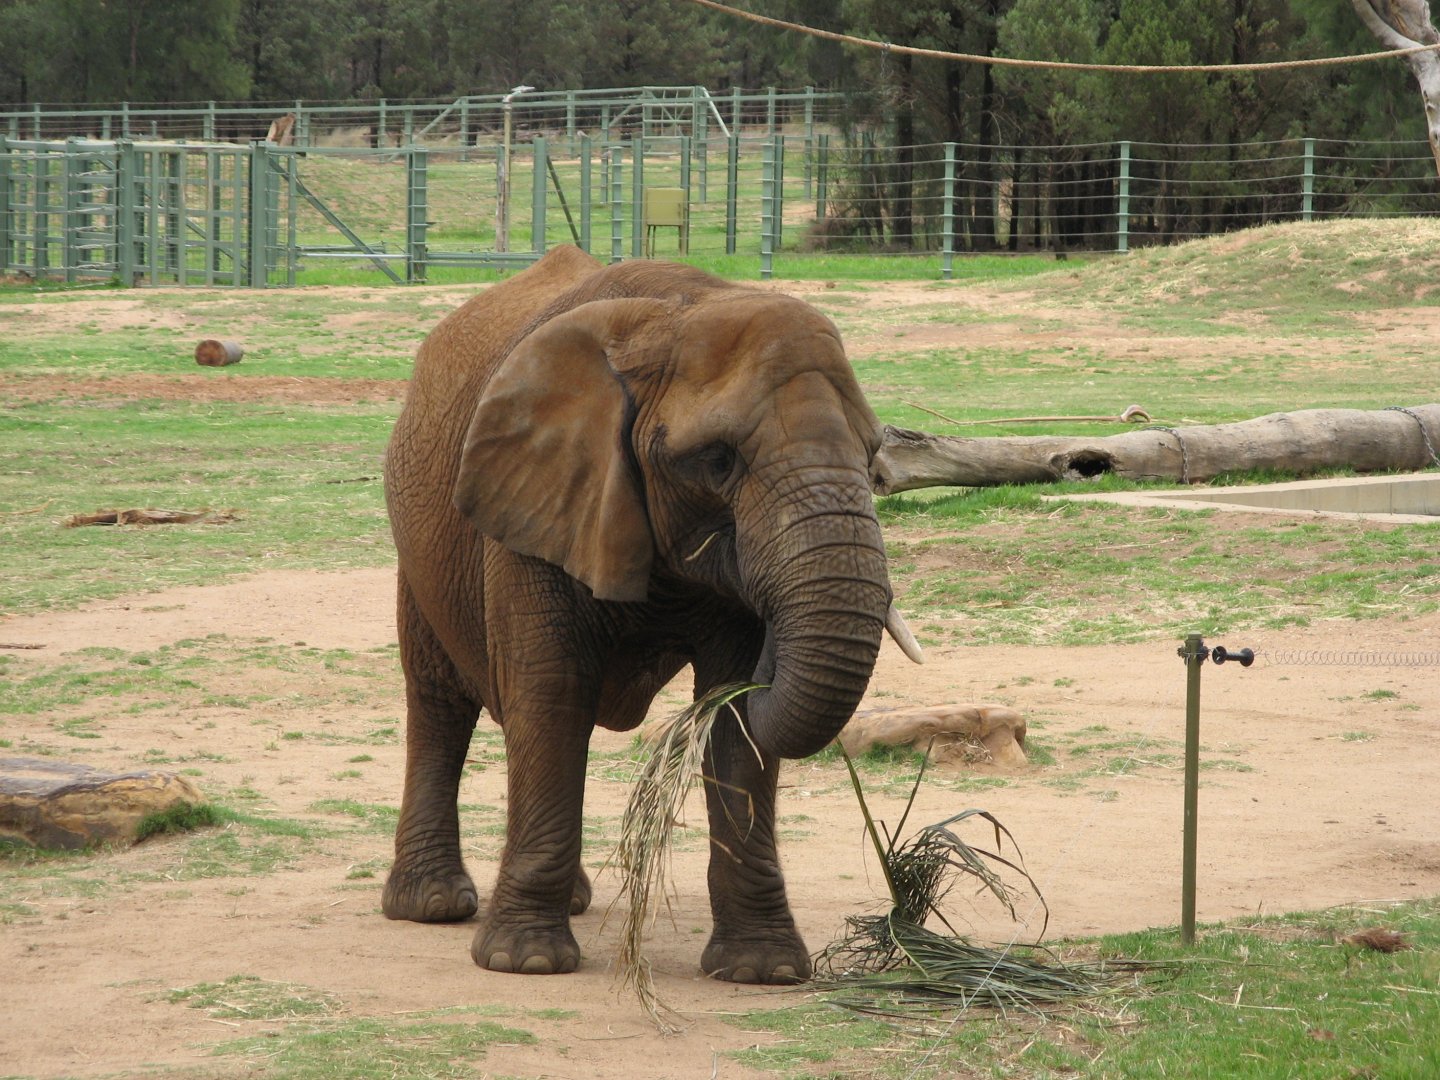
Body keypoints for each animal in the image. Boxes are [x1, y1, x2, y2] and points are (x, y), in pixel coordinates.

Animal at [380, 245, 922, 983]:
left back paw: (572, 900)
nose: (775, 640)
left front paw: (764, 972)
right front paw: (526, 962)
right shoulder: (535, 502)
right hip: (422, 548)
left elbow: (730, 721)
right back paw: (433, 905)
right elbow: (551, 693)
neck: (679, 313)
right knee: (441, 703)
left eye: (872, 457)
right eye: (718, 461)